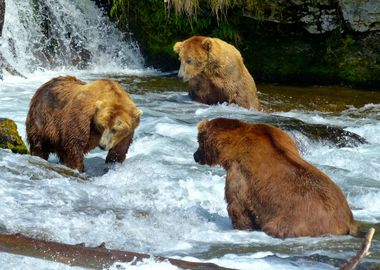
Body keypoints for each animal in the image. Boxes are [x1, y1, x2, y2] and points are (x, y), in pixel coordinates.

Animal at [193, 118, 360, 238]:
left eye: (198, 141)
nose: (195, 155)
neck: (232, 146)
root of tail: (347, 222)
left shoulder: (239, 174)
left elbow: (237, 206)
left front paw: (241, 226)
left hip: (298, 219)